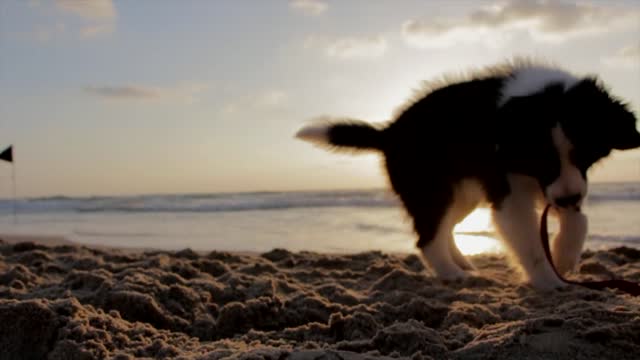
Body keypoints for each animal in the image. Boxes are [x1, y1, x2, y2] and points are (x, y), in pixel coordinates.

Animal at [296, 58, 640, 290]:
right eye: (541, 159)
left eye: (586, 154)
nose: (569, 199)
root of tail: (390, 133)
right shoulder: (511, 193)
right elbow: (530, 241)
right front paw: (548, 280)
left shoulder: (560, 185)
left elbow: (578, 220)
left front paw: (564, 256)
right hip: (431, 190)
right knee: (427, 237)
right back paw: (452, 274)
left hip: (462, 194)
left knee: (445, 227)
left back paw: (462, 263)